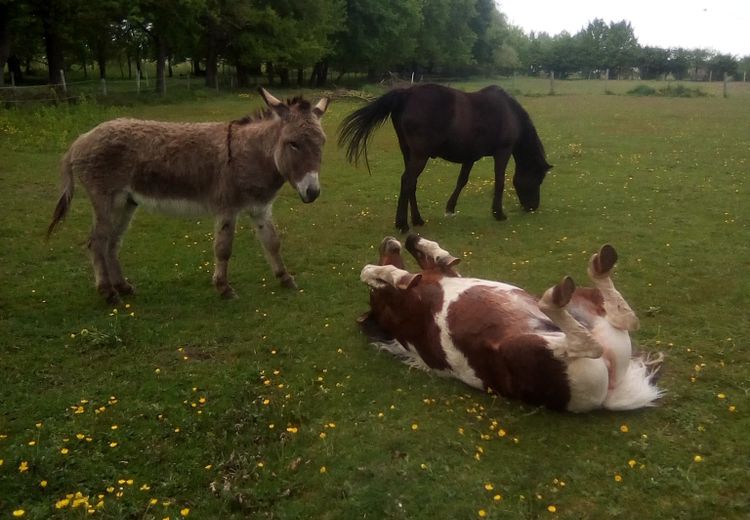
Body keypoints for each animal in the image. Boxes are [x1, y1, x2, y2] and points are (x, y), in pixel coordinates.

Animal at [340, 83, 552, 232]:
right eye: (539, 179)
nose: (532, 207)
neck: (509, 112)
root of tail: (407, 94)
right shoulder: (503, 152)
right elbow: (499, 181)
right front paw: (498, 213)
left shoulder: (470, 156)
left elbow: (462, 181)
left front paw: (450, 208)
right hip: (420, 155)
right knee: (407, 181)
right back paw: (402, 224)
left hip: (408, 153)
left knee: (411, 183)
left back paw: (417, 219)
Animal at [358, 237, 664, 414]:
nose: (387, 241)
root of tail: (607, 395)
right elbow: (373, 273)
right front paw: (386, 274)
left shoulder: (446, 274)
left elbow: (437, 259)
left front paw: (419, 244)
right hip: (526, 346)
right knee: (589, 343)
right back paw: (556, 297)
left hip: (587, 308)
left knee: (623, 318)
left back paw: (598, 267)